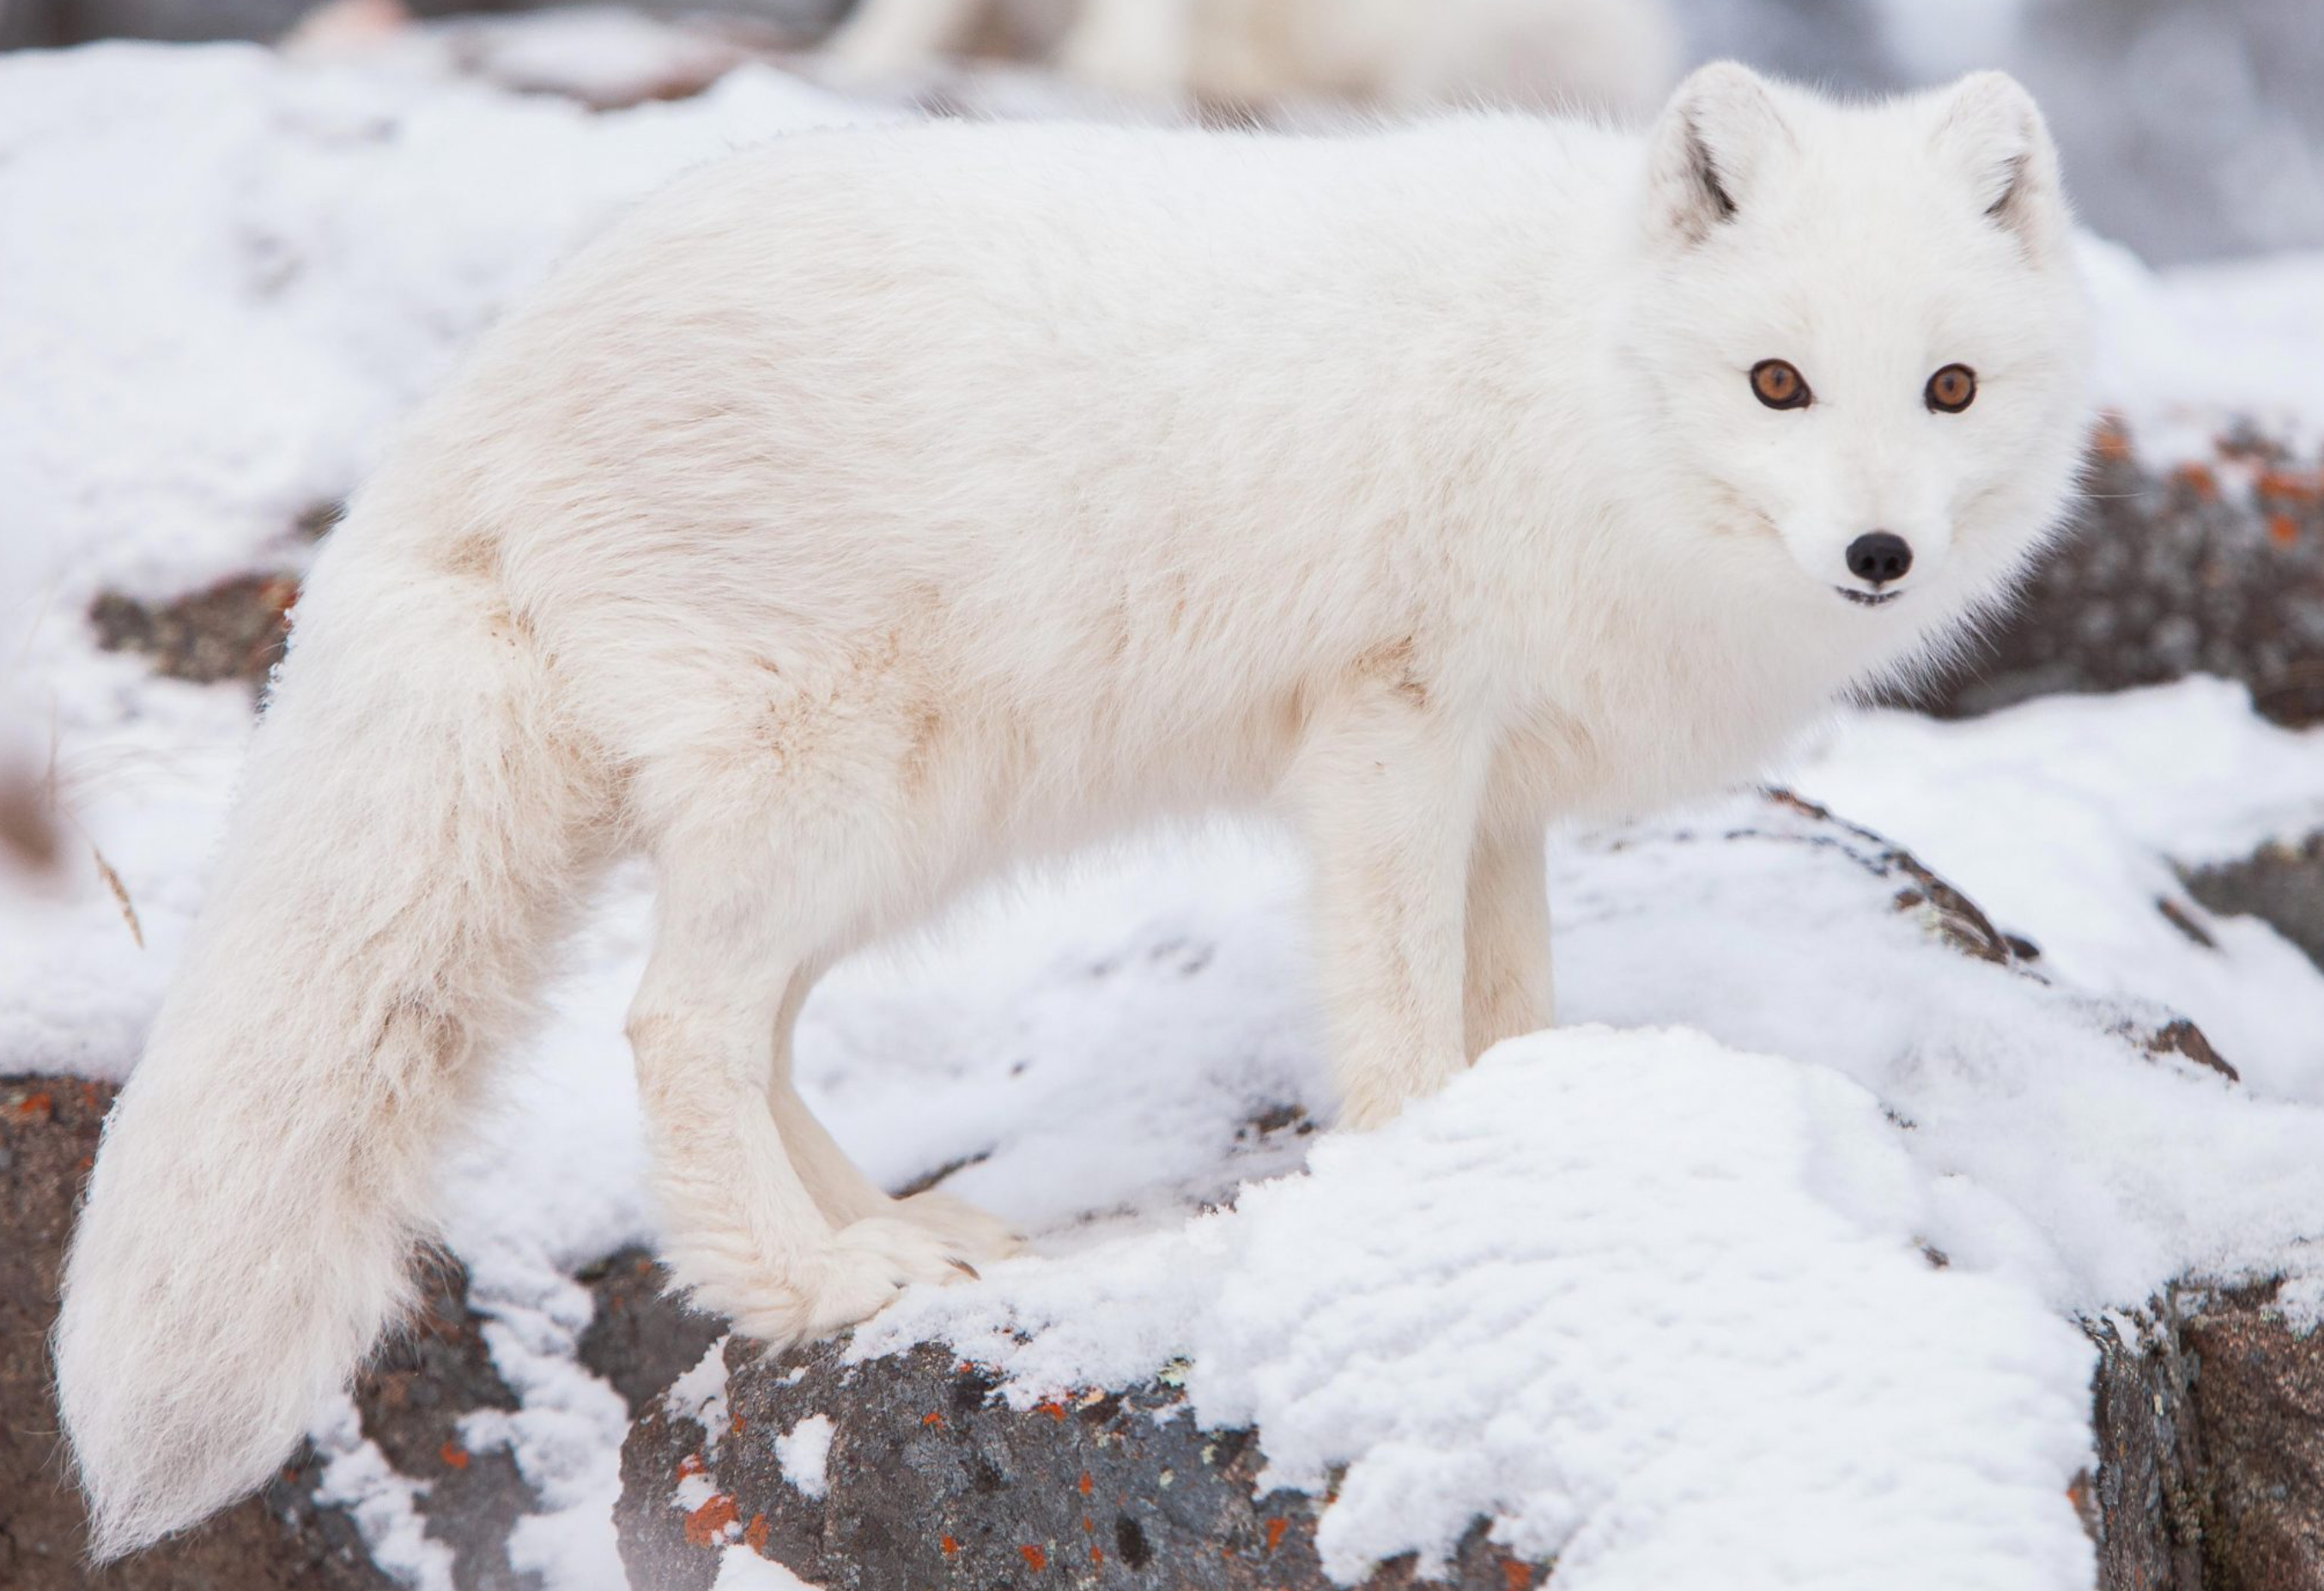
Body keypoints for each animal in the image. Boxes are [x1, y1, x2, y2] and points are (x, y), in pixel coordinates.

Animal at [54, 68, 2101, 1560]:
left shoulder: (1500, 790)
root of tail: (471, 397)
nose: (1878, 552)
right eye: (1776, 382)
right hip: (835, 787)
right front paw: (1424, 1177)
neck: (1572, 394)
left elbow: (1511, 997)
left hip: (899, 823)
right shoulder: (1392, 730)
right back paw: (809, 1277)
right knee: (674, 1025)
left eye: (1947, 386)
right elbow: (1400, 1013)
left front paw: (1535, 1132)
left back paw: (913, 1238)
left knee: (752, 1029)